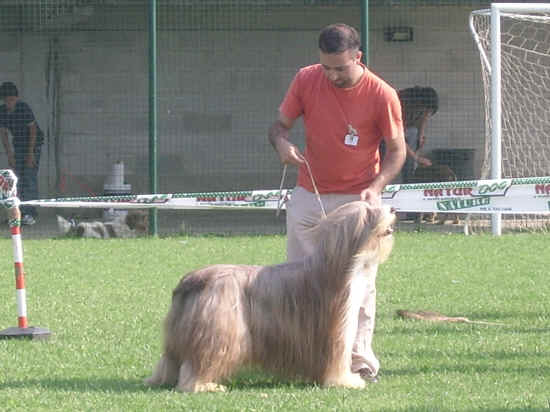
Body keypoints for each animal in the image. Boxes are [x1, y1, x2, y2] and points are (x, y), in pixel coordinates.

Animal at [146, 202, 396, 392]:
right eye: (371, 211)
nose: (393, 208)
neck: (338, 266)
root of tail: (192, 280)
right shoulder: (337, 331)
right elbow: (338, 359)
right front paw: (346, 381)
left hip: (180, 335)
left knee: (171, 361)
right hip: (218, 331)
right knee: (200, 363)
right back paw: (204, 385)